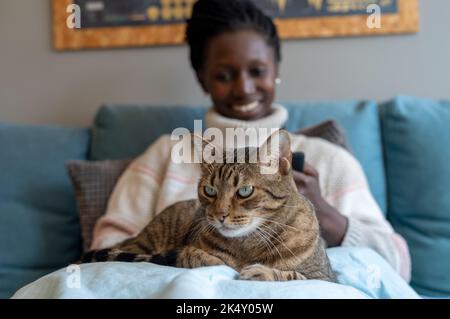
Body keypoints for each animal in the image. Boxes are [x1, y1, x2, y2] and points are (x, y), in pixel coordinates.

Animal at [81, 130, 336, 282]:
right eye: (209, 191)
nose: (220, 215)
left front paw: (259, 271)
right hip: (145, 241)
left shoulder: (325, 278)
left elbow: (294, 276)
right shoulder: (186, 250)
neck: (248, 244)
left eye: (245, 191)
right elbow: (195, 255)